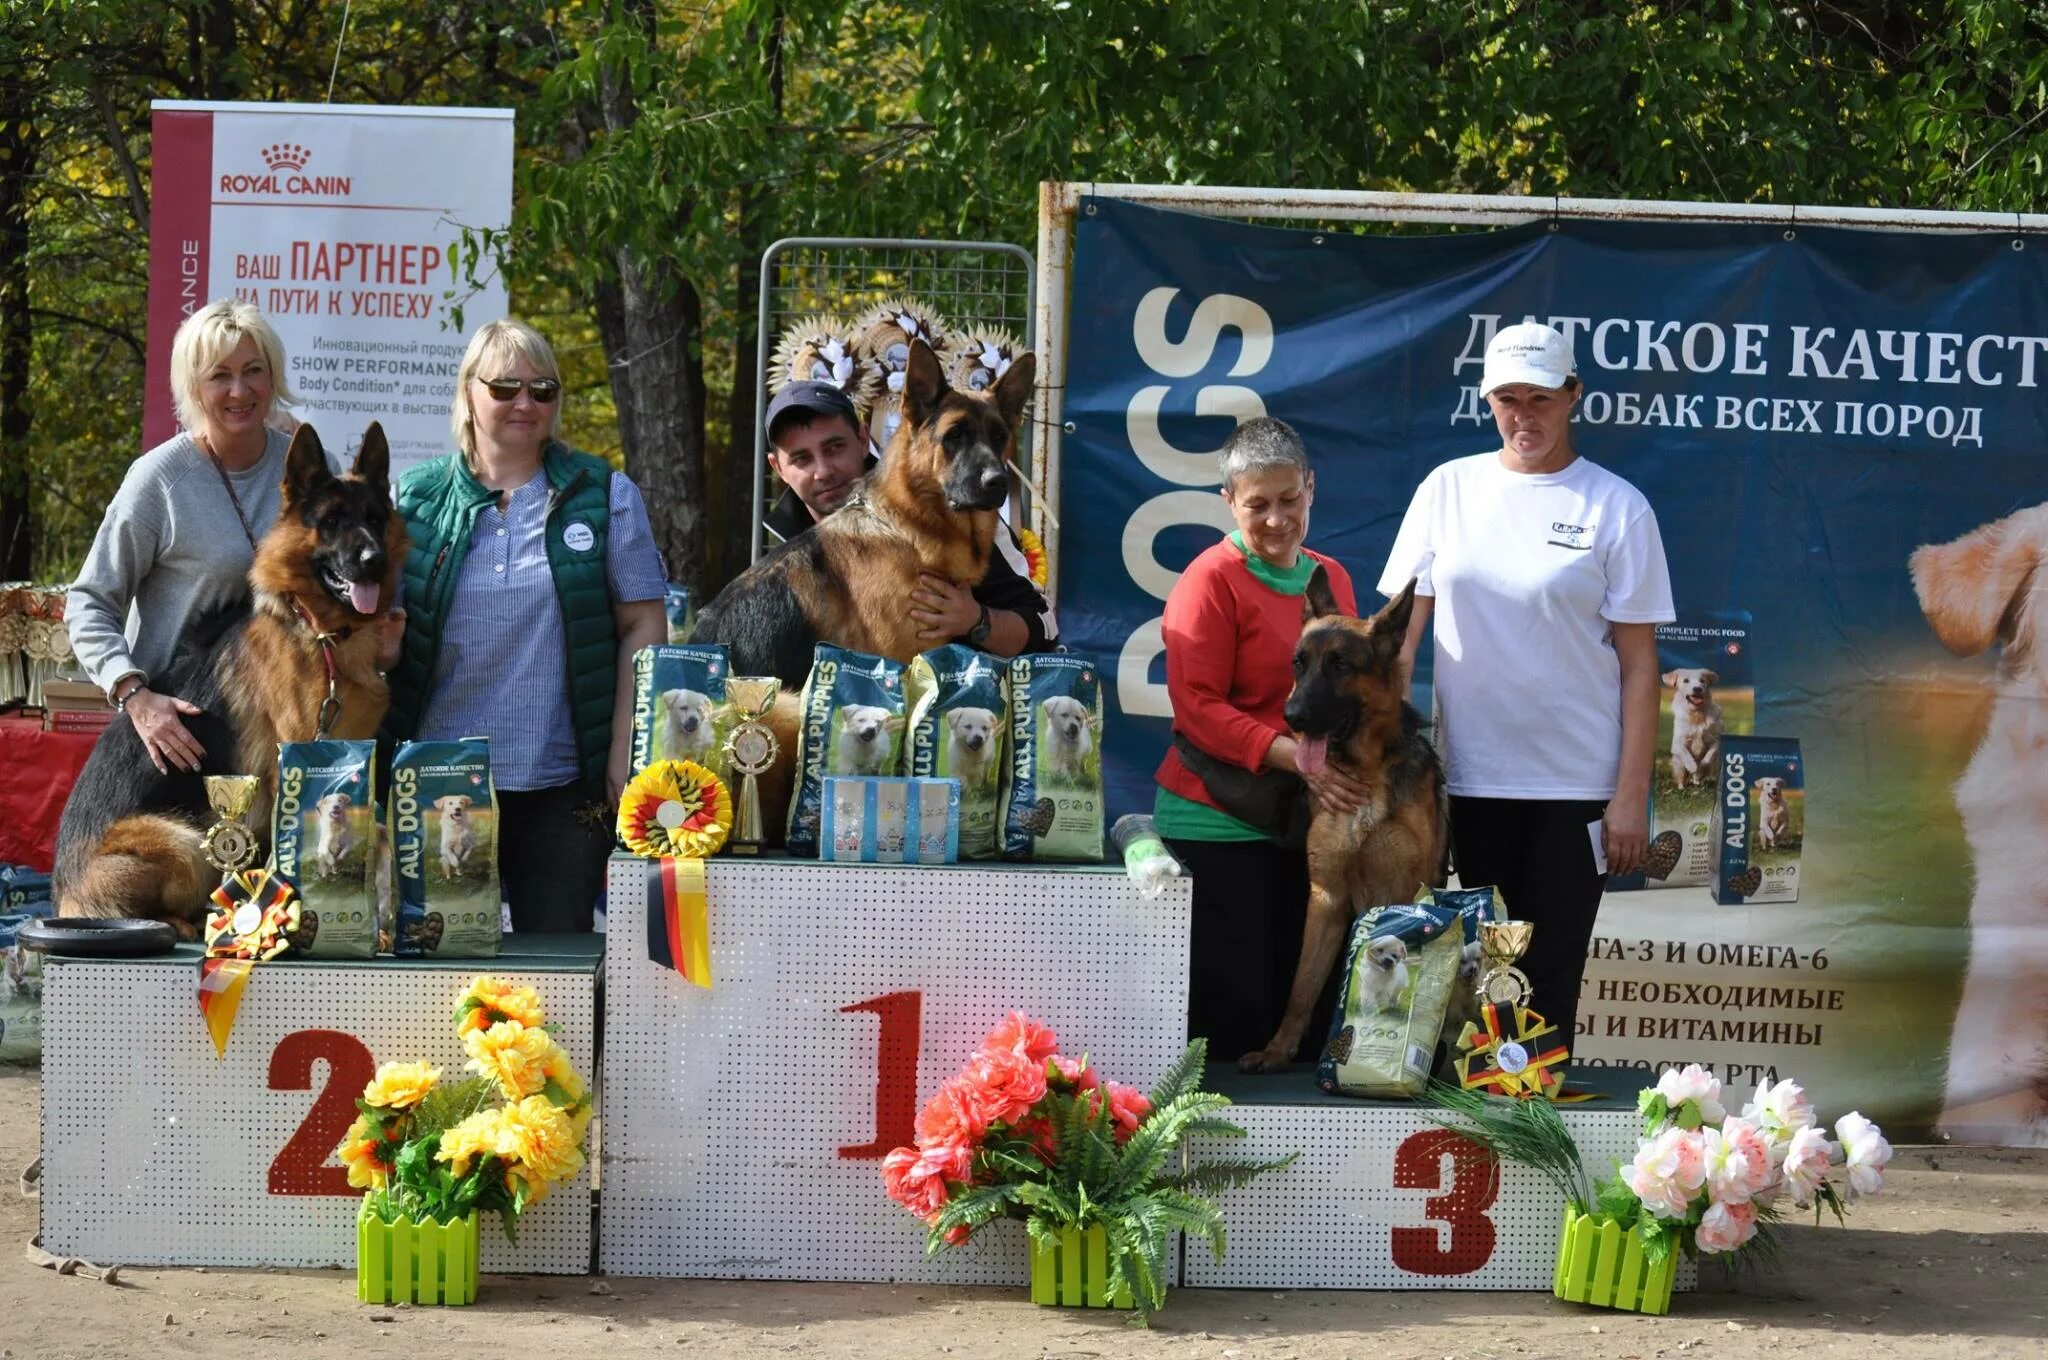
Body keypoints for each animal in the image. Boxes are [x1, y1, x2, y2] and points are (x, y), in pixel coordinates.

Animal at [56, 426, 405, 933]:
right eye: (332, 521)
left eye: (375, 519)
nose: (372, 559)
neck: (321, 634)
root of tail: (63, 893)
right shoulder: (293, 762)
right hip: (183, 841)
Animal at [1236, 573, 1449, 1073]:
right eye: (1299, 664)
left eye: (1339, 666)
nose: (1292, 718)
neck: (1366, 774)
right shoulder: (1326, 898)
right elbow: (1301, 987)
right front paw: (1277, 1051)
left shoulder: (1401, 893)